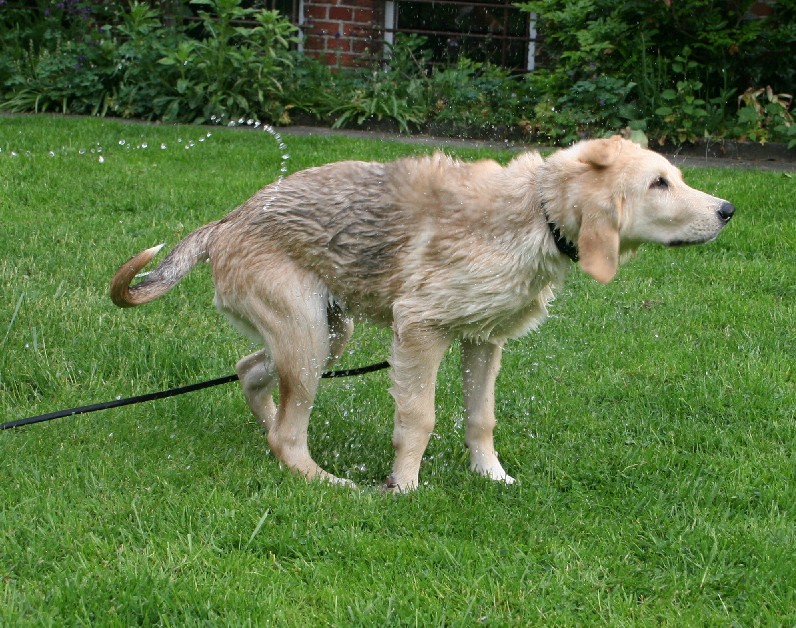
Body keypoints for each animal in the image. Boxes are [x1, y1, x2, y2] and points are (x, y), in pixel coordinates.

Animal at [110, 136, 735, 491]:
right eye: (659, 183)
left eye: (676, 176)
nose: (728, 210)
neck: (534, 213)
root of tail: (224, 223)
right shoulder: (420, 332)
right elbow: (419, 420)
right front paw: (405, 487)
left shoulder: (484, 340)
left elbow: (481, 419)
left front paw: (492, 478)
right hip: (308, 335)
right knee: (289, 433)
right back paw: (328, 482)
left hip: (328, 333)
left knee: (251, 376)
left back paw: (269, 430)